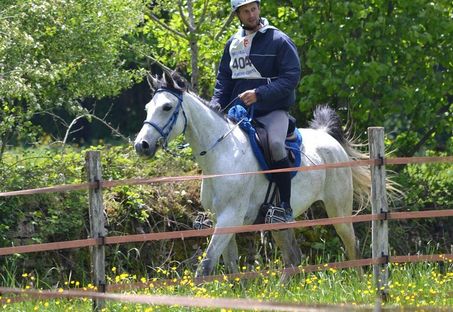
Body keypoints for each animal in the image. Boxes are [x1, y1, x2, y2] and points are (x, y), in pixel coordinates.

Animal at [132, 73, 370, 278]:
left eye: (167, 107)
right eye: (147, 108)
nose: (141, 145)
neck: (223, 154)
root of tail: (327, 136)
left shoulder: (230, 218)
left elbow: (205, 267)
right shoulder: (220, 219)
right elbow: (231, 266)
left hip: (338, 210)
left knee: (352, 245)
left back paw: (359, 283)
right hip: (278, 222)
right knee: (293, 257)